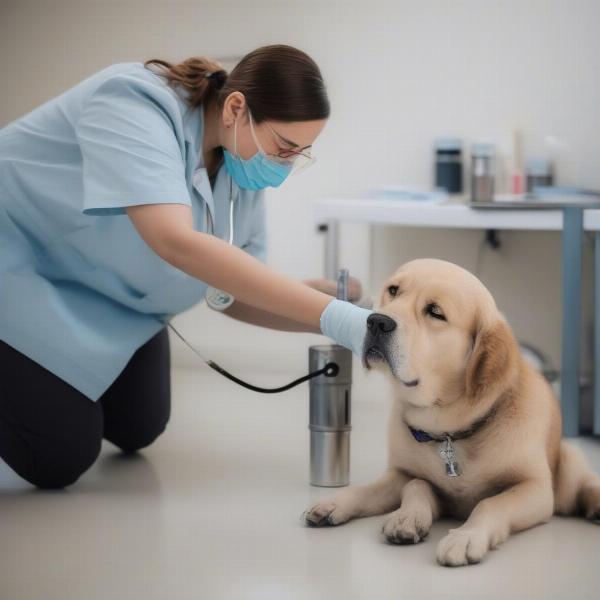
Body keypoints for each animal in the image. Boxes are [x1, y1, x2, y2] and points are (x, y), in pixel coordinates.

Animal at [304, 258, 600, 568]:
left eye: (435, 312)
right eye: (393, 290)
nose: (376, 321)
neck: (446, 430)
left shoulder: (536, 489)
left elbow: (490, 504)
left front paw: (465, 537)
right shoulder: (400, 473)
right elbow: (410, 485)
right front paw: (374, 510)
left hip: (569, 461)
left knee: (585, 485)